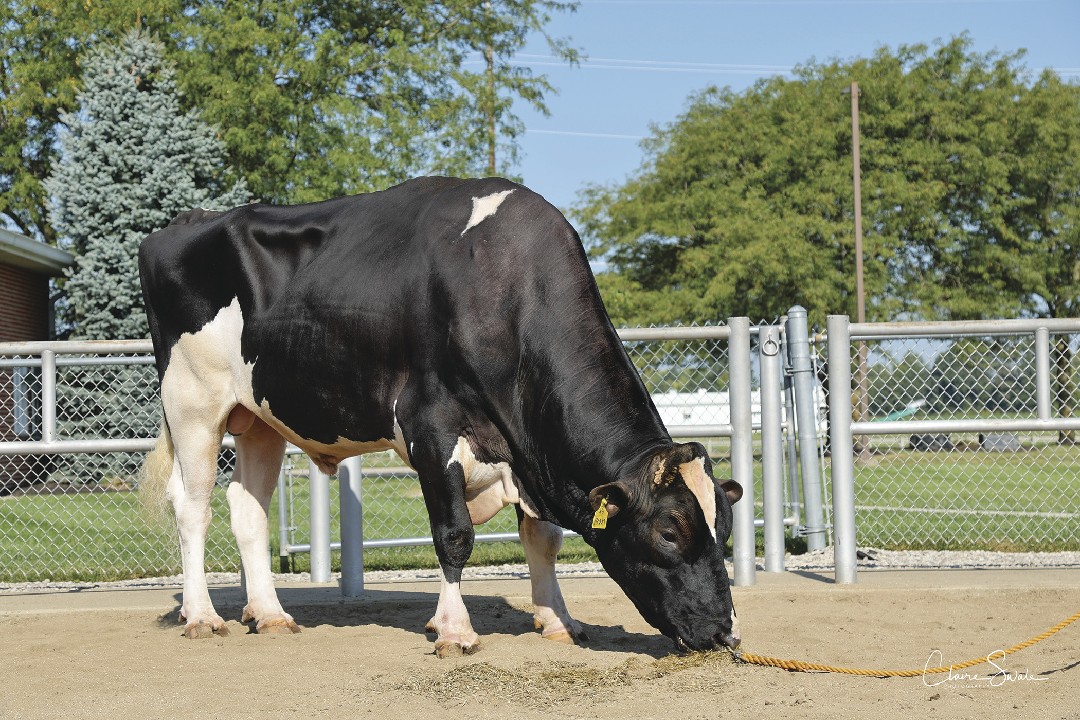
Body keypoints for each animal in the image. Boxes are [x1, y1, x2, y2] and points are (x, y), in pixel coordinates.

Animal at [138, 176, 743, 657]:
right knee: (192, 507)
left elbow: (543, 539)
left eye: (726, 529)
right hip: (192, 401)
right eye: (668, 531)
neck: (504, 290)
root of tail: (186, 222)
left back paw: (269, 615)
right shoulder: (431, 426)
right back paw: (202, 616)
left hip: (260, 416)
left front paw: (558, 620)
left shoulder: (526, 445)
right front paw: (453, 630)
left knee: (248, 510)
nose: (725, 632)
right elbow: (453, 534)